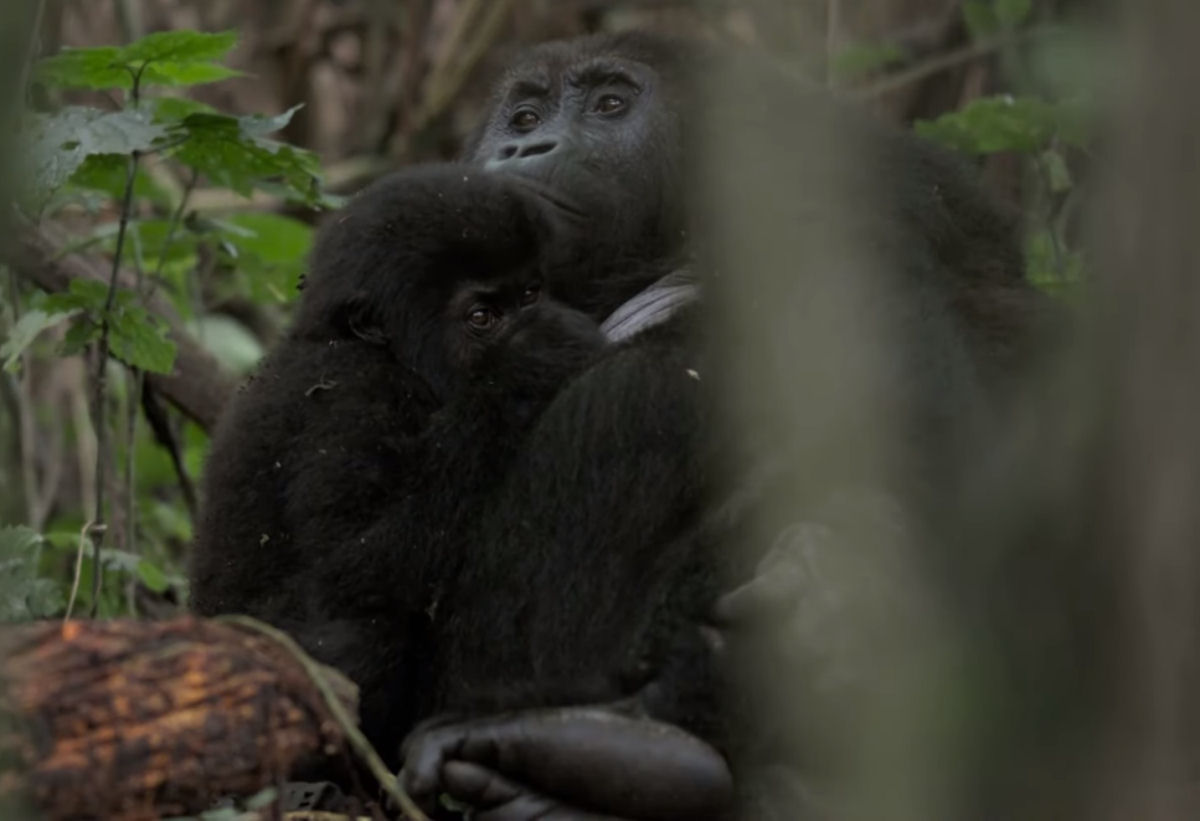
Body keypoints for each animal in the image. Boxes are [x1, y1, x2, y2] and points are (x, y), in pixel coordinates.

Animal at [192, 163, 604, 768]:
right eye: (482, 317)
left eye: (529, 292)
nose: (535, 316)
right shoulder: (350, 400)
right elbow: (355, 562)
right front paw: (534, 359)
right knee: (365, 626)